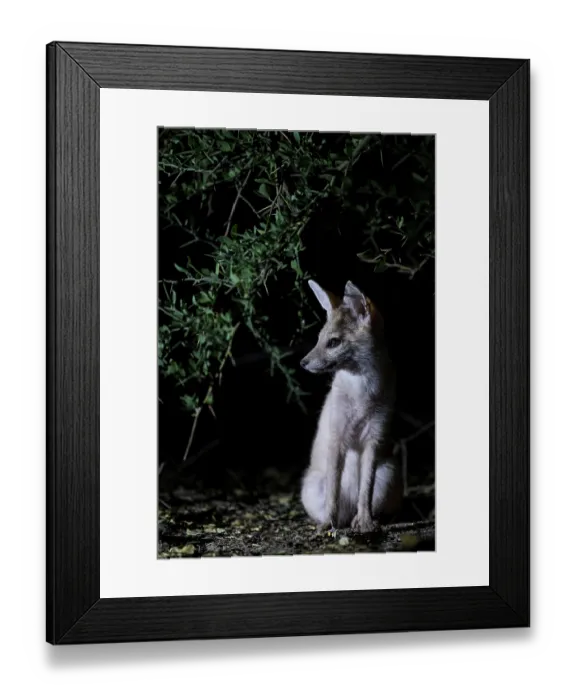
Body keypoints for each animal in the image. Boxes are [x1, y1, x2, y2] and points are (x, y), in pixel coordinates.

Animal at [299, 279, 403, 533]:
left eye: (333, 342)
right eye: (318, 338)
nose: (302, 363)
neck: (362, 394)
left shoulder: (374, 437)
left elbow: (365, 491)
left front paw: (365, 521)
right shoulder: (338, 438)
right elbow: (333, 495)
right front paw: (328, 522)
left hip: (389, 473)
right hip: (312, 485)